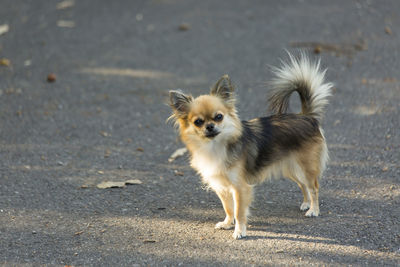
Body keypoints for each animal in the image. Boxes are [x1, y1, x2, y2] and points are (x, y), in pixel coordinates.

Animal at [167, 52, 332, 241]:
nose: (209, 126)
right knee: (303, 185)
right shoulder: (221, 186)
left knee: (313, 187)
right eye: (198, 122)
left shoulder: (240, 187)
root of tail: (306, 116)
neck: (216, 146)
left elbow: (239, 211)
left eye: (218, 117)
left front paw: (239, 231)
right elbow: (228, 208)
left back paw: (313, 209)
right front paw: (227, 223)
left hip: (305, 167)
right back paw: (306, 203)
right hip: (291, 167)